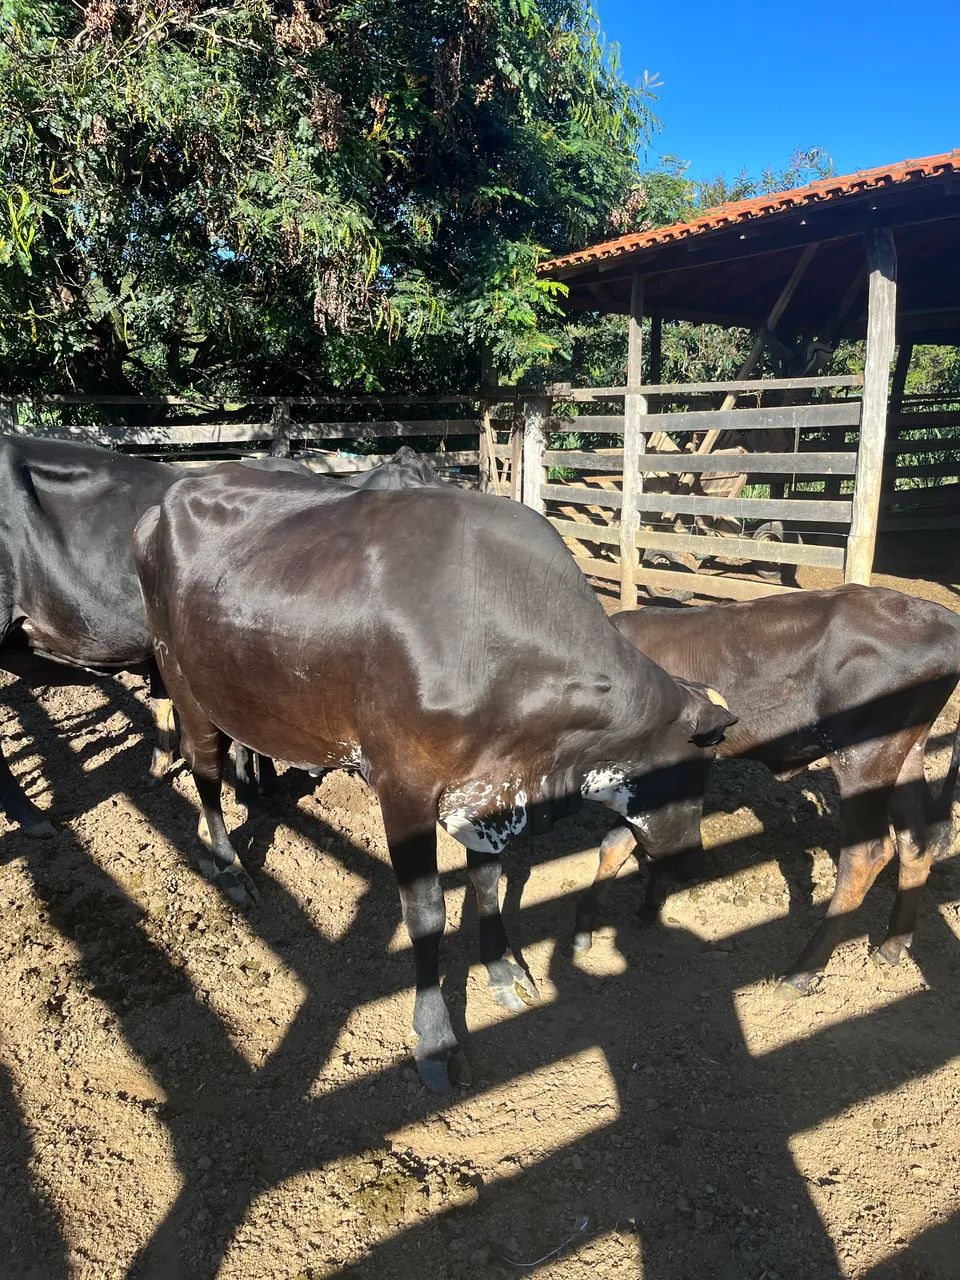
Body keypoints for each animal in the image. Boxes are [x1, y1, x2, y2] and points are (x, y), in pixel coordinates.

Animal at [133, 466, 736, 1091]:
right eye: (694, 769)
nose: (693, 865)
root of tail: (171, 496)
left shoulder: (488, 795)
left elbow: (488, 882)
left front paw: (502, 967)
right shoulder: (405, 790)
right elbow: (426, 915)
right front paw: (437, 1038)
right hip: (182, 680)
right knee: (205, 772)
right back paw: (226, 863)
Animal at [573, 586, 960, 993]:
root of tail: (944, 619)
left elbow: (623, 840)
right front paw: (635, 910)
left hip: (862, 759)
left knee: (866, 853)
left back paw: (802, 969)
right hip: (905, 754)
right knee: (917, 841)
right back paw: (892, 944)